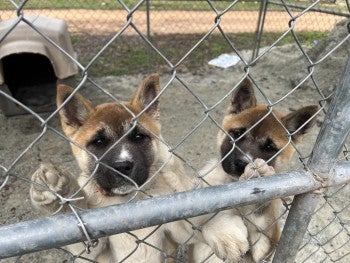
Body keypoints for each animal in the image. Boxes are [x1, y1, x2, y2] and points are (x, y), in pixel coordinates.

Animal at [29, 74, 249, 263]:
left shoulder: (175, 224)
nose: (122, 166)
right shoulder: (91, 248)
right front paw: (57, 191)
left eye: (138, 137)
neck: (129, 200)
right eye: (99, 142)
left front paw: (224, 232)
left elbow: (199, 213)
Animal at [193, 77, 318, 262]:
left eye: (269, 147)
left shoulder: (266, 243)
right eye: (237, 133)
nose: (243, 163)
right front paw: (222, 230)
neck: (232, 183)